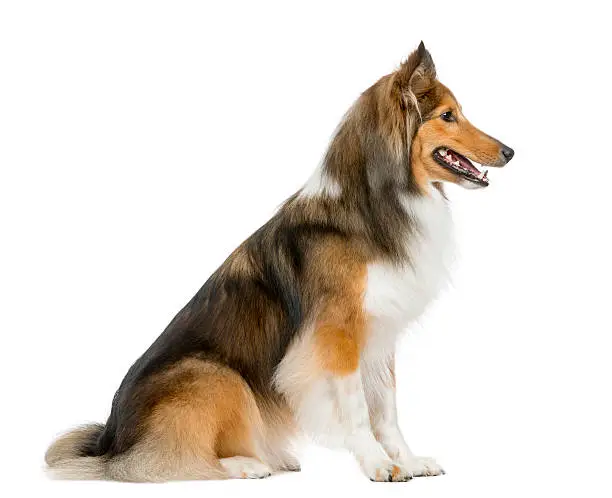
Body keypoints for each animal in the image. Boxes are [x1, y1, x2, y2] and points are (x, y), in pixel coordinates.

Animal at [44, 43, 512, 482]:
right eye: (448, 116)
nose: (509, 151)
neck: (376, 204)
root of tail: (109, 441)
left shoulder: (380, 333)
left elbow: (387, 409)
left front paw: (409, 461)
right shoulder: (337, 335)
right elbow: (358, 410)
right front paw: (379, 464)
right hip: (214, 375)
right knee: (169, 460)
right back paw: (246, 464)